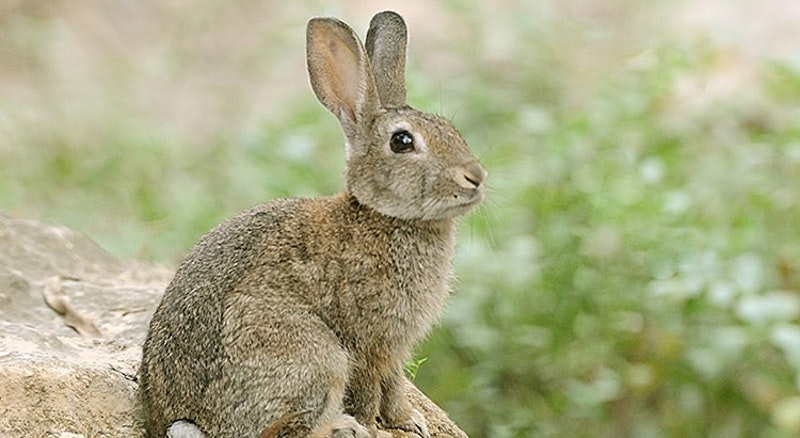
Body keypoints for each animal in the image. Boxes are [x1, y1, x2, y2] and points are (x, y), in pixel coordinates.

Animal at [139, 10, 488, 438]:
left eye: (451, 129)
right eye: (402, 142)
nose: (476, 177)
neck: (386, 218)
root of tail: (180, 421)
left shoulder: (394, 347)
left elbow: (394, 386)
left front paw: (409, 423)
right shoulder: (366, 341)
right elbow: (371, 390)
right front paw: (373, 428)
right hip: (313, 355)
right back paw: (344, 427)